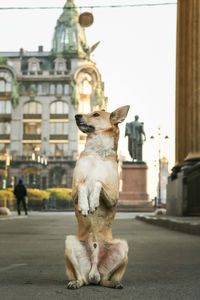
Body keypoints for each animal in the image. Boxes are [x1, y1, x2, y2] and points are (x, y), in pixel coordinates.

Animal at [65, 105, 130, 288]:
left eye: (95, 114)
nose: (76, 115)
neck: (96, 153)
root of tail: (94, 273)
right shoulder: (74, 190)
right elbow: (83, 183)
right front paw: (84, 205)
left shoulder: (114, 196)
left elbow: (98, 182)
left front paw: (93, 202)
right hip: (70, 243)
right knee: (81, 278)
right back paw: (76, 283)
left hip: (123, 246)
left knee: (106, 279)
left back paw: (114, 283)